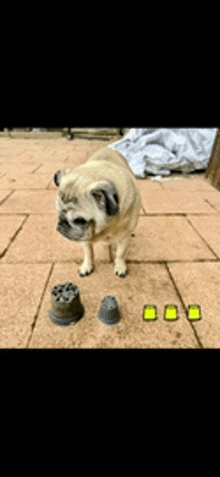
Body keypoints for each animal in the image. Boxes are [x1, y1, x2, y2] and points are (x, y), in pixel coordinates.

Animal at [54, 147, 142, 278]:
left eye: (79, 220)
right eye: (59, 212)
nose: (62, 222)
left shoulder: (124, 239)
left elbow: (120, 254)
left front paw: (120, 266)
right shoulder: (85, 239)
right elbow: (89, 254)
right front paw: (87, 266)